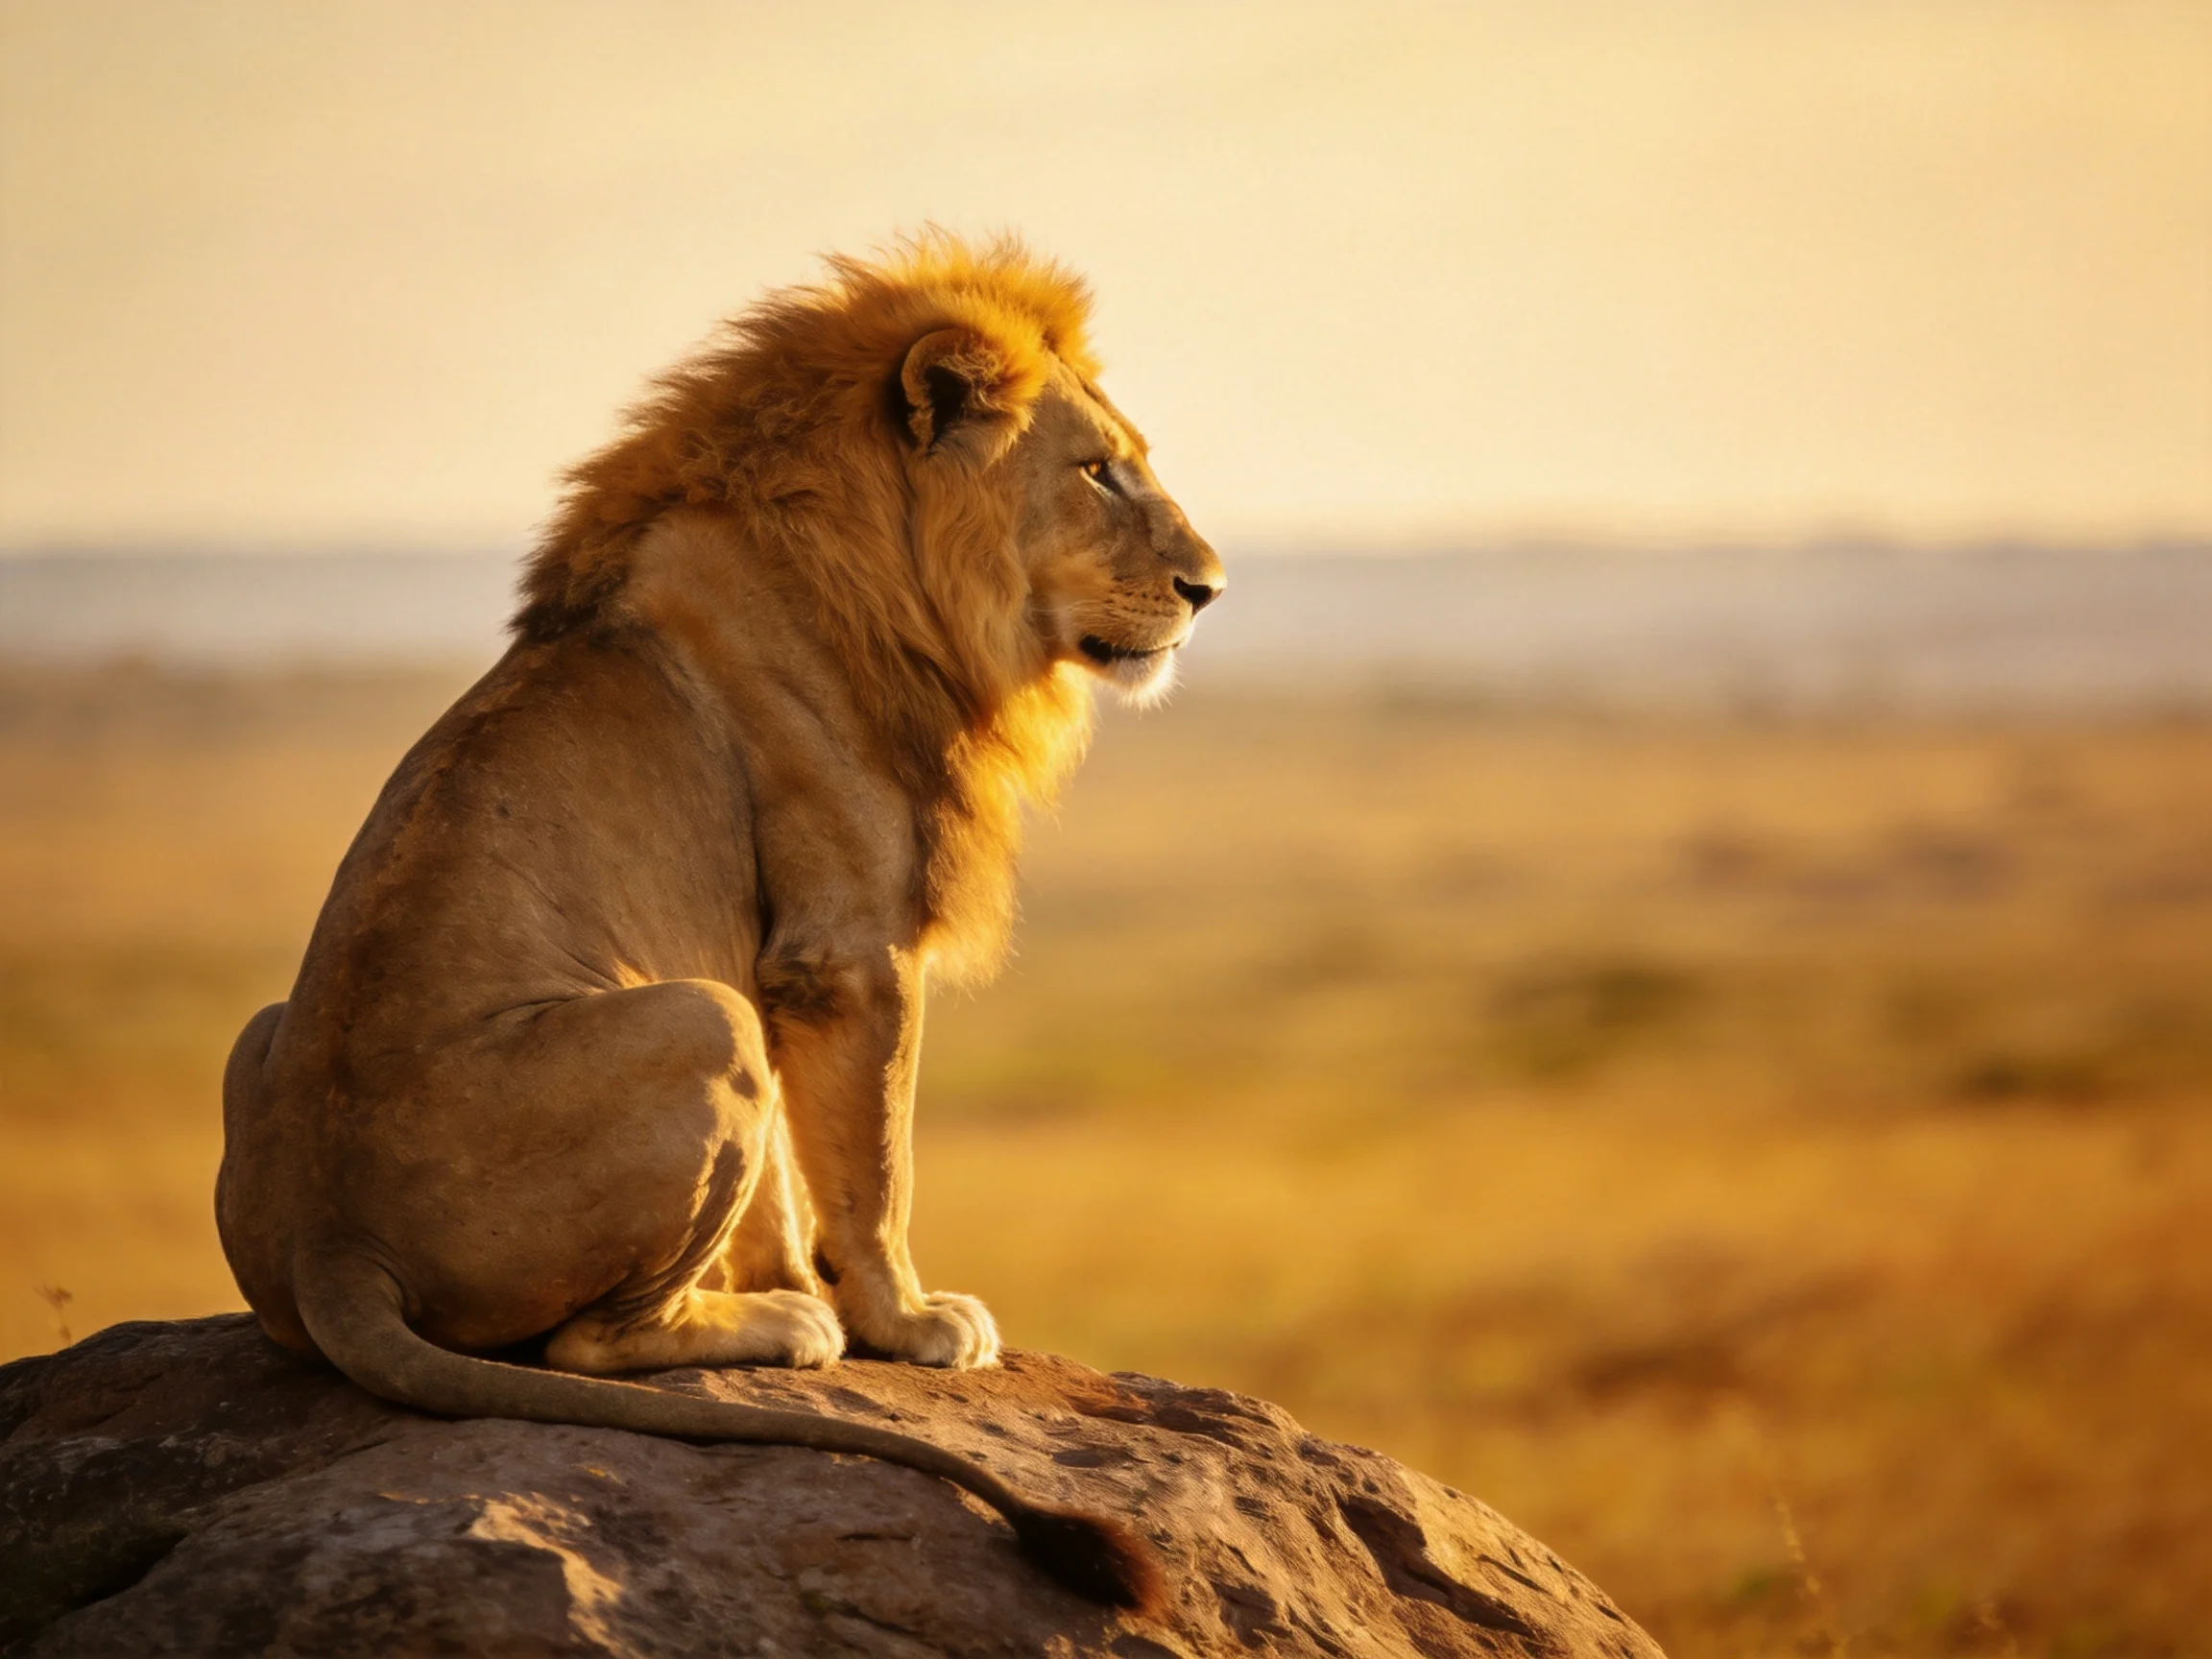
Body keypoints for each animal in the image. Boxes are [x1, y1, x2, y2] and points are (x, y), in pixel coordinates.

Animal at [214, 234, 1222, 1610]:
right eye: (1096, 470)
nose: (1209, 588)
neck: (886, 574)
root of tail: (332, 1238)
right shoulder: (845, 951)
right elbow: (872, 1166)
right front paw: (904, 1326)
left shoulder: (787, 968)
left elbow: (788, 1181)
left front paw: (804, 1282)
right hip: (701, 1017)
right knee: (583, 1344)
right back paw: (784, 1330)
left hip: (265, 1032)